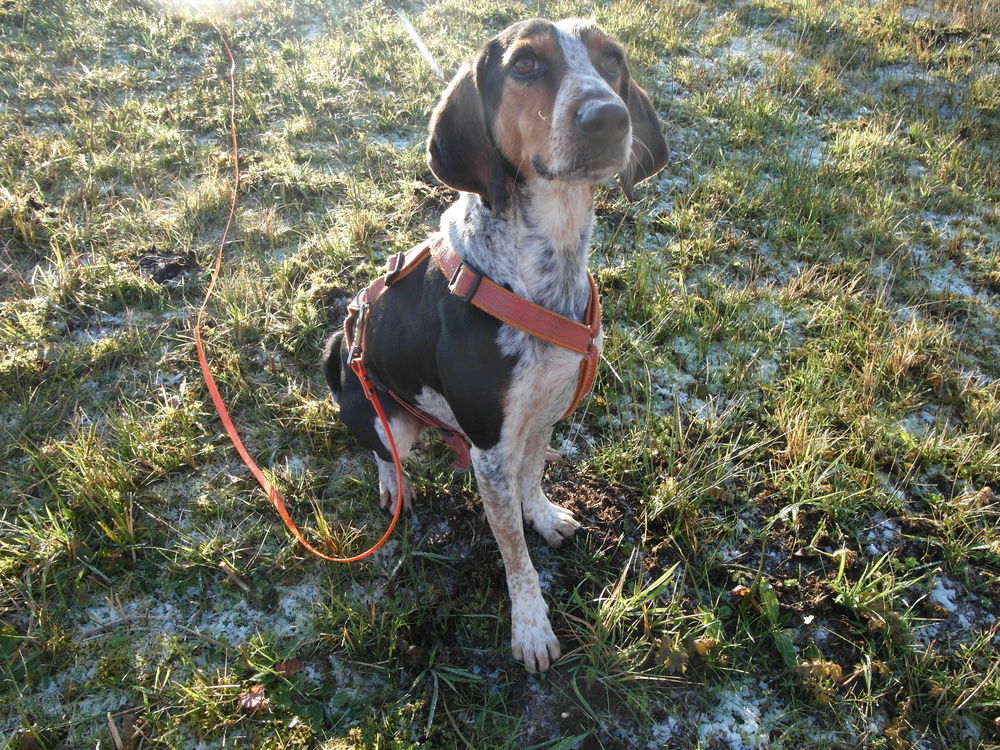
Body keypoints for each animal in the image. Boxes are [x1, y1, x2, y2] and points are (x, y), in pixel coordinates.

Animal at [324, 17, 668, 676]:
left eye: (613, 60)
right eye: (526, 65)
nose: (609, 117)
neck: (541, 271)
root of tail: (343, 347)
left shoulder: (546, 409)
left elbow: (531, 480)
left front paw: (544, 516)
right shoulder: (489, 445)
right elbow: (513, 553)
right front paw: (531, 627)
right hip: (384, 412)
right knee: (382, 449)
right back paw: (392, 484)